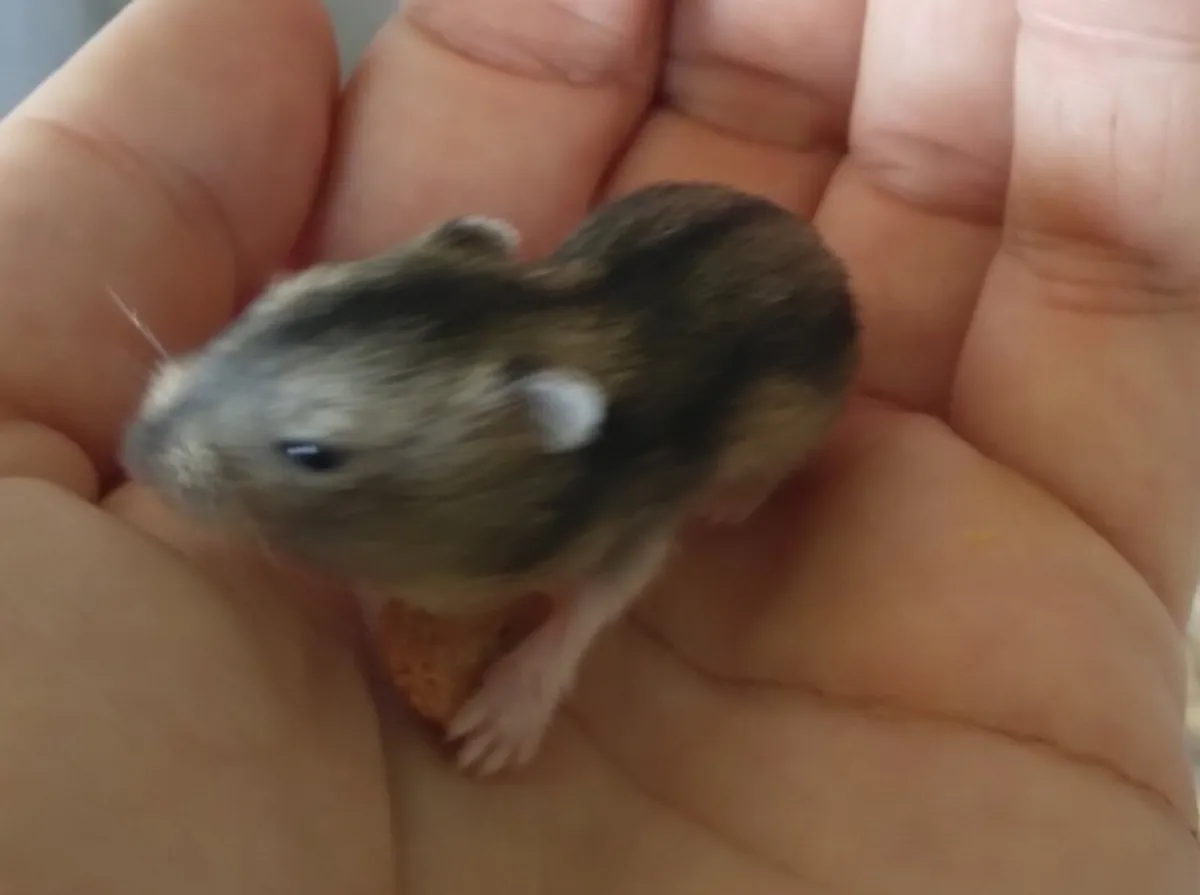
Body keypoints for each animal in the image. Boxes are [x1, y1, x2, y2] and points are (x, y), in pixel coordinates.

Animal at [120, 181, 861, 775]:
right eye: (263, 304)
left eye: (311, 453)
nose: (131, 449)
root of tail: (814, 243)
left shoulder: (639, 523)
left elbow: (593, 606)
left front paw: (494, 731)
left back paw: (731, 505)